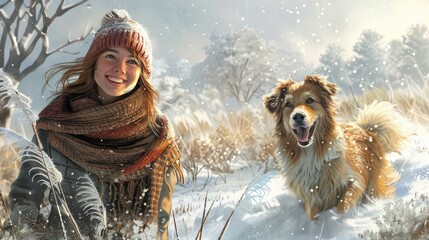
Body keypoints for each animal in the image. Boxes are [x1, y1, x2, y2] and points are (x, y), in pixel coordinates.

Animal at [264, 76, 408, 220]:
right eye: (288, 104)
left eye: (310, 100)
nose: (298, 116)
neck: (311, 152)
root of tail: (366, 129)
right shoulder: (311, 196)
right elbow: (313, 215)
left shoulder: (355, 180)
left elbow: (344, 204)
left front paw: (340, 219)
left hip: (375, 185)